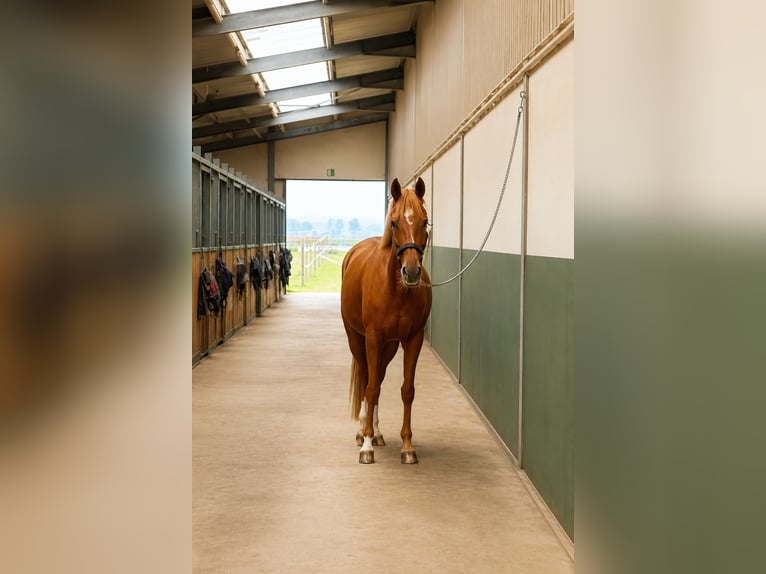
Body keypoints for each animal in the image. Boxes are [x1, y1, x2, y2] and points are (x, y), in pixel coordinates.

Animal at [340, 177, 432, 464]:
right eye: (394, 223)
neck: (397, 290)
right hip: (356, 338)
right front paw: (367, 446)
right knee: (367, 378)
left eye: (425, 222)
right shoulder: (372, 338)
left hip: (389, 346)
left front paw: (407, 447)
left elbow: (407, 390)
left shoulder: (413, 339)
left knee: (378, 377)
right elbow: (369, 389)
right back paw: (363, 433)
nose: (411, 272)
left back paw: (378, 433)